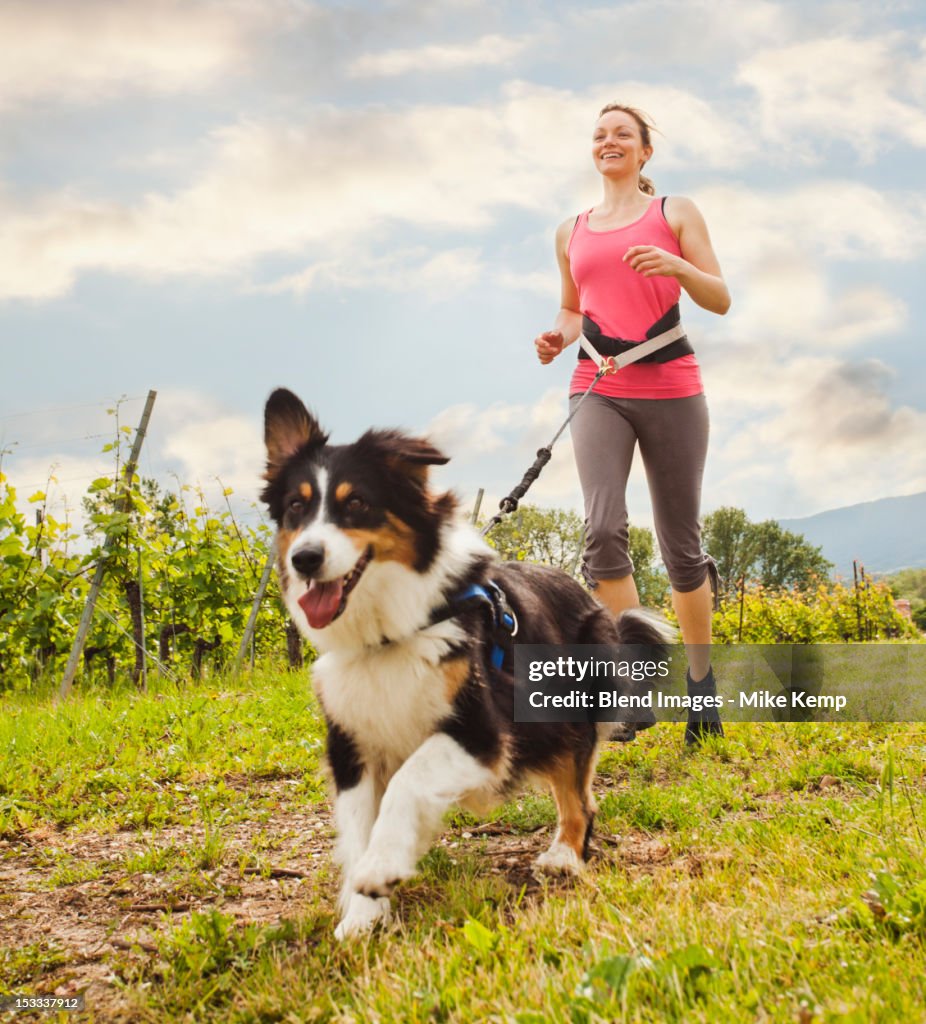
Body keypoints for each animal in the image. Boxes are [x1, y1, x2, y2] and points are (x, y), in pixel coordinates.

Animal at [257, 387, 667, 937]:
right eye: (296, 507)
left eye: (357, 503)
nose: (305, 558)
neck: (390, 631)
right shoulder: (352, 740)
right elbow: (360, 825)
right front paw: (362, 915)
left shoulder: (482, 731)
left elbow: (407, 783)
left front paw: (380, 870)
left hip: (565, 713)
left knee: (579, 796)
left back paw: (564, 854)